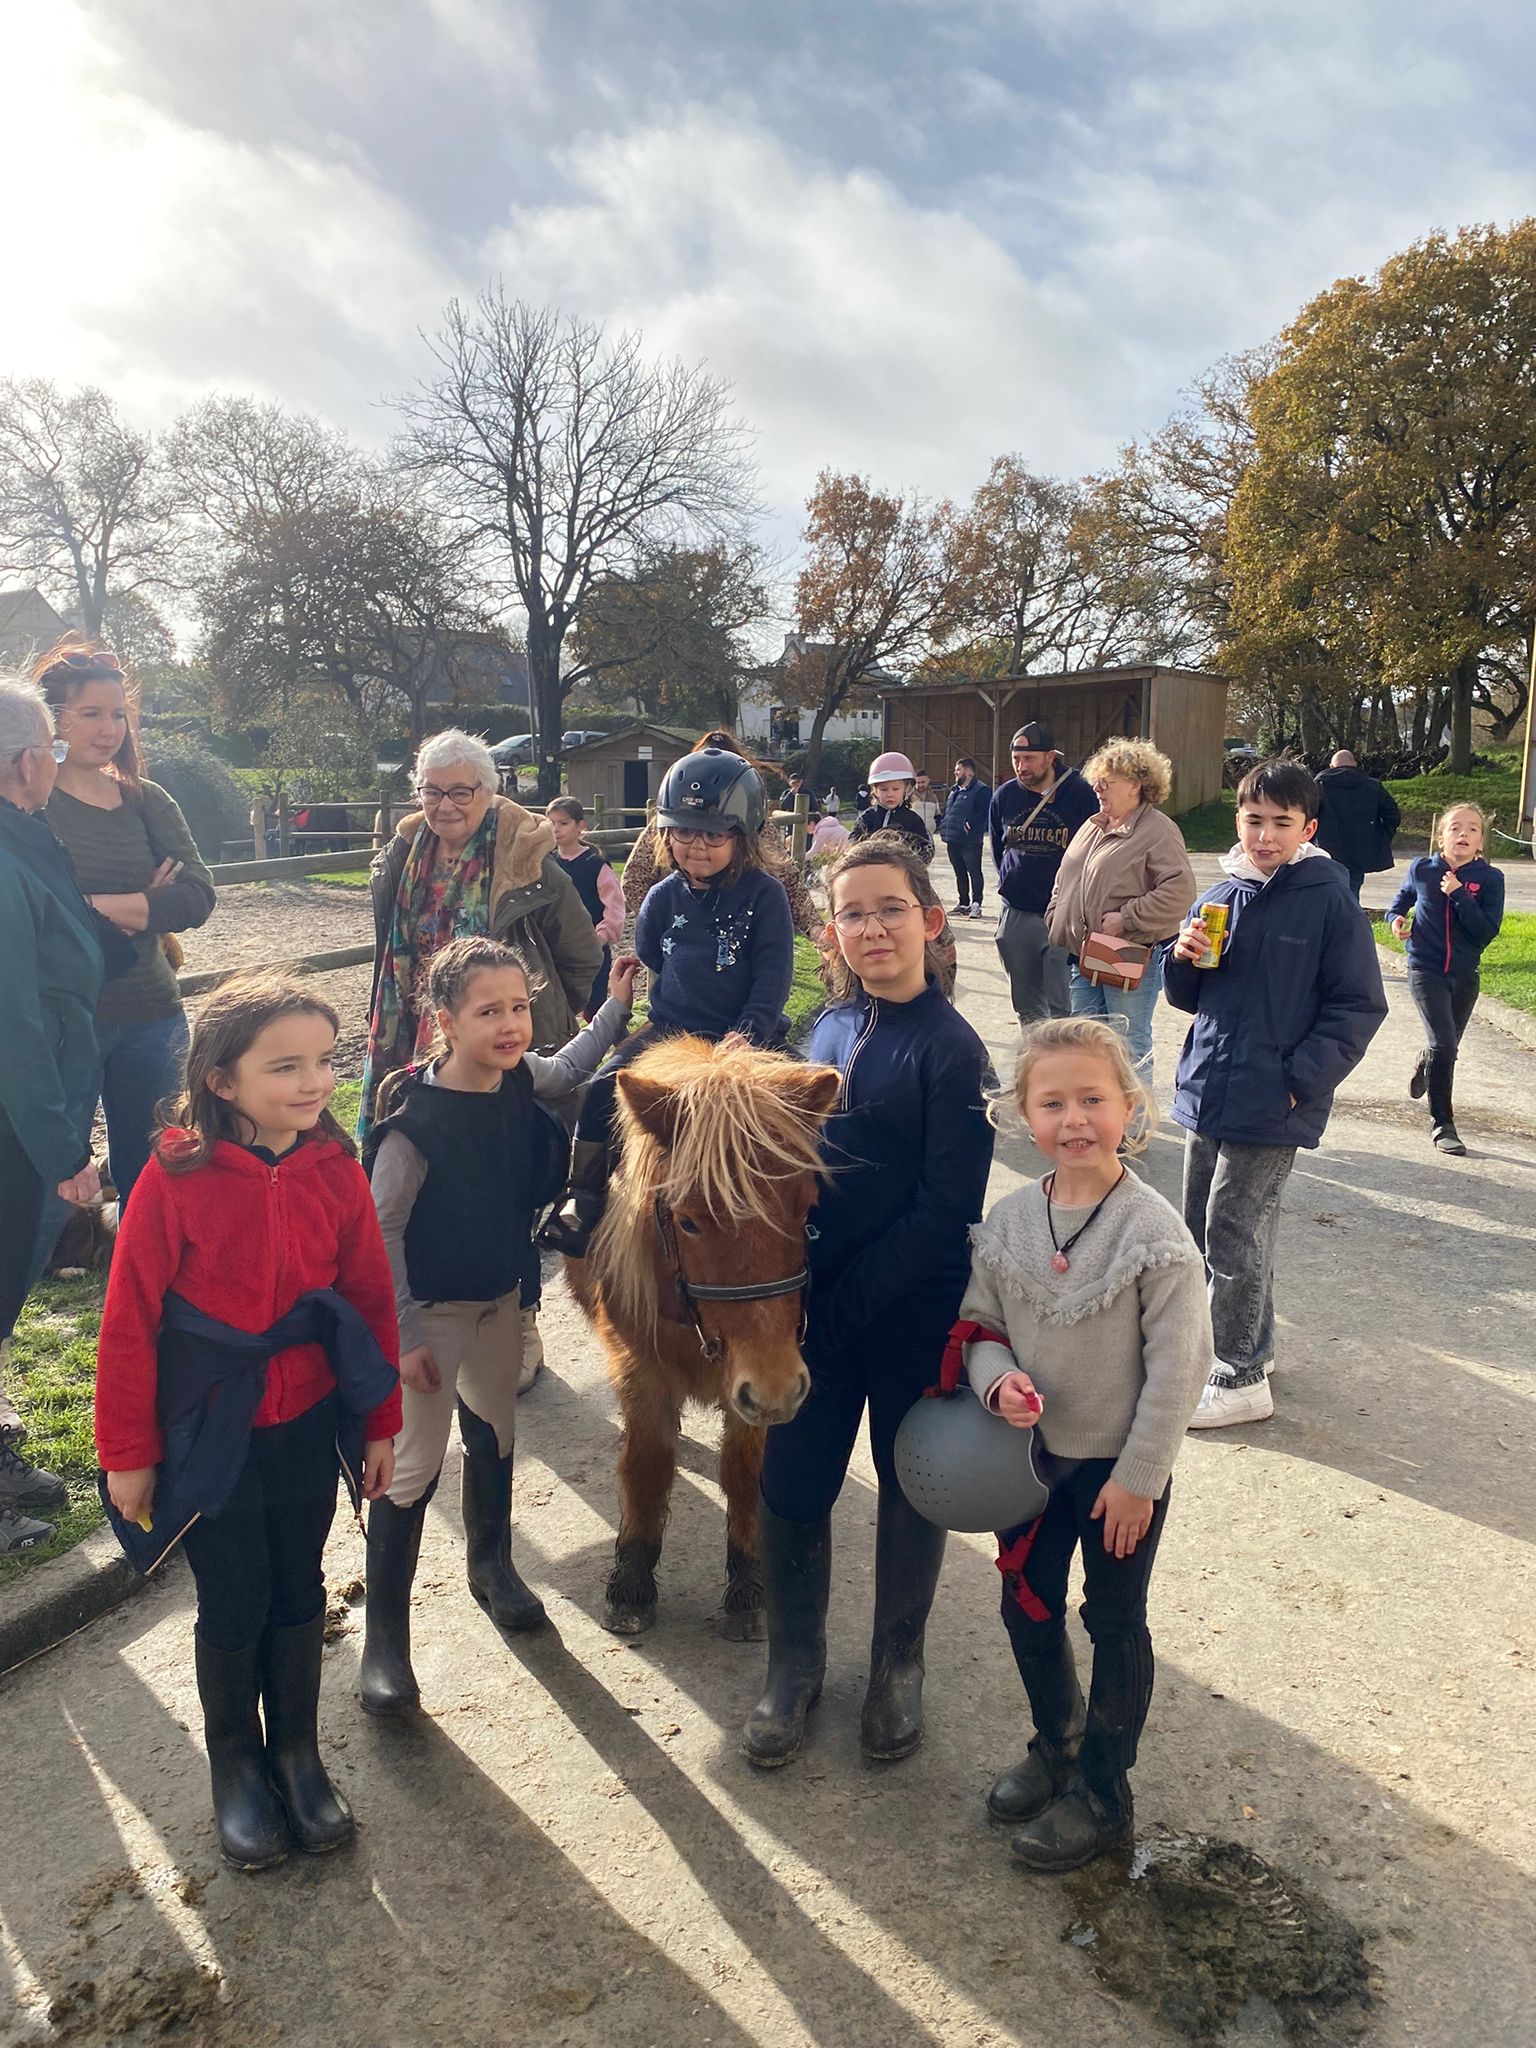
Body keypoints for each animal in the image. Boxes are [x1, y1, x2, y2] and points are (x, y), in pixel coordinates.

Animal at [569, 1032, 843, 1638]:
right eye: (689, 1220)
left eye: (807, 1208)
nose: (778, 1389)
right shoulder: (639, 1370)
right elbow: (648, 1465)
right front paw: (632, 1582)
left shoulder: (749, 1387)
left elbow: (743, 1475)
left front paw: (746, 1584)